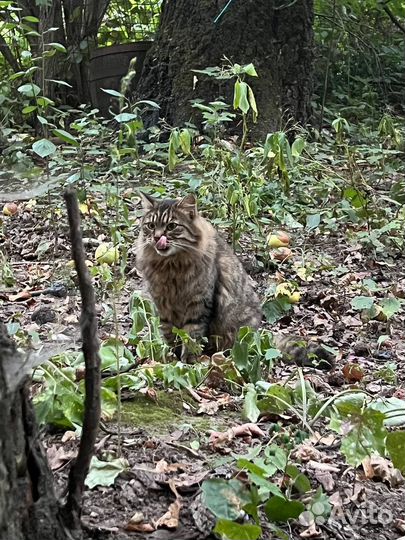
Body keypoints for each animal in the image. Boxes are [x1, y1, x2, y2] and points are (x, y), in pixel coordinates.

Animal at [137, 194, 334, 372]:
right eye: (150, 226)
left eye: (171, 226)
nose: (157, 238)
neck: (170, 267)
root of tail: (259, 331)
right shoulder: (163, 306)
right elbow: (171, 336)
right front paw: (172, 359)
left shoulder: (198, 304)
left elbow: (191, 337)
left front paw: (187, 362)